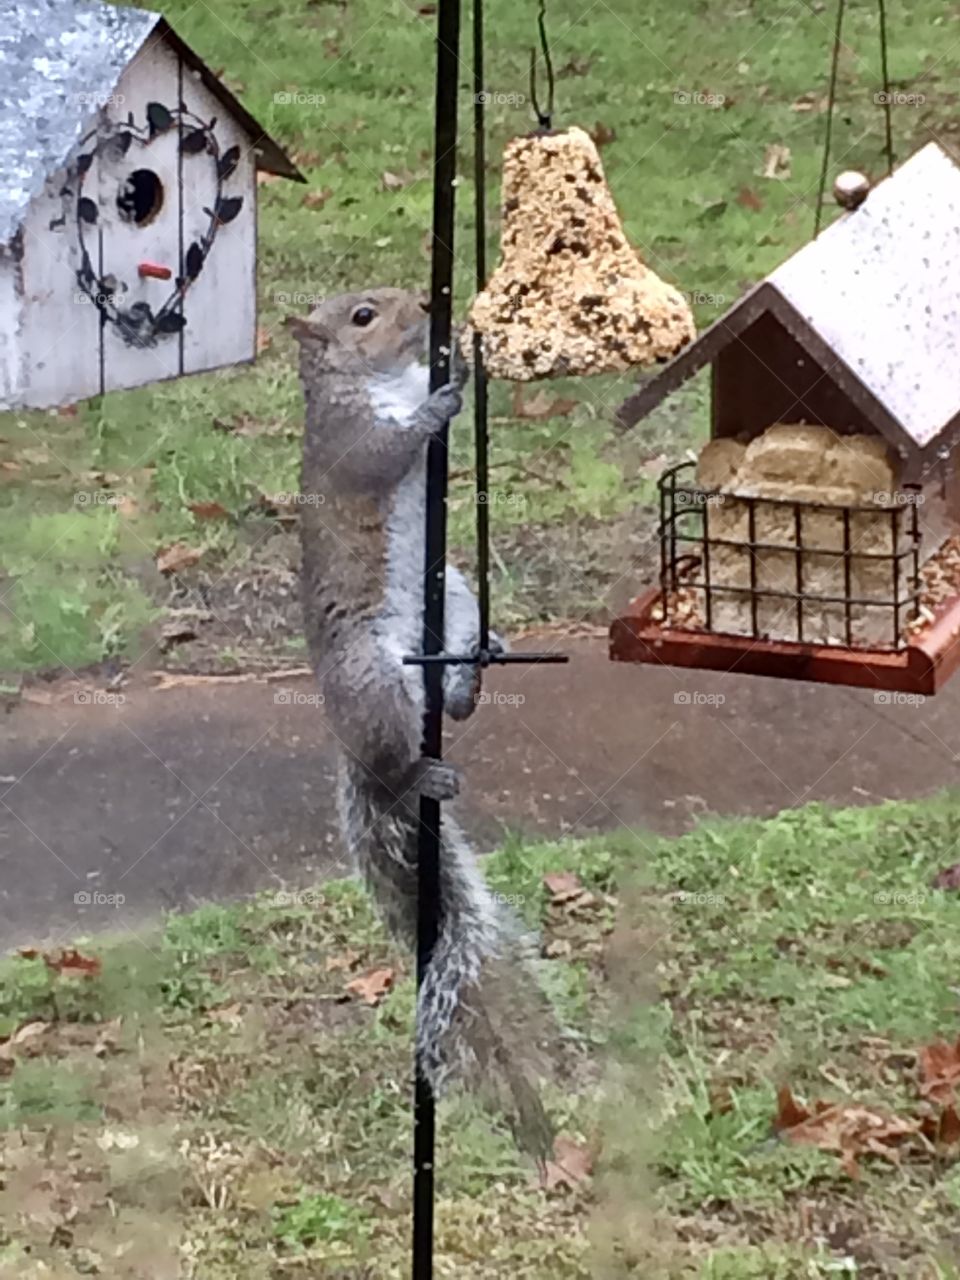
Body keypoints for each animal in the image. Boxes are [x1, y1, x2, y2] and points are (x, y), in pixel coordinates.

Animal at [285, 288, 555, 1162]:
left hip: (457, 590)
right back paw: (422, 771)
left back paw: (470, 676)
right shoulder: (350, 438)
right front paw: (443, 400)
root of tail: (353, 748)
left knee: (456, 673)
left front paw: (461, 356)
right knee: (397, 765)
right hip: (373, 684)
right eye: (364, 316)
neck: (378, 378)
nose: (418, 305)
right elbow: (387, 448)